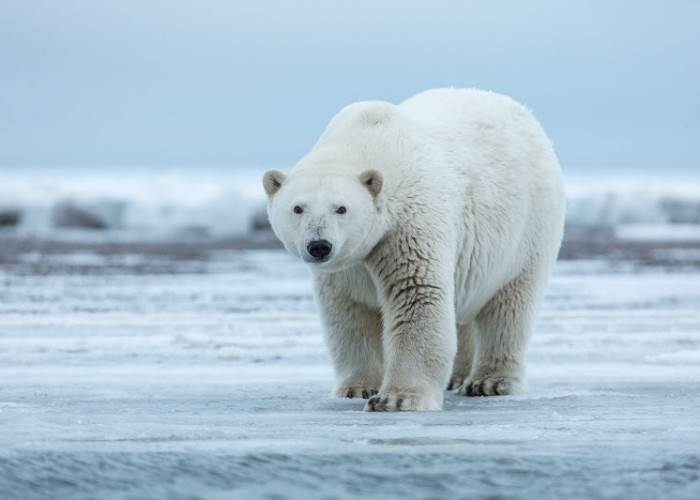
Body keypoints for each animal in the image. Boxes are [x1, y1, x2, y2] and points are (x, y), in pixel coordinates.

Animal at [262, 89, 564, 410]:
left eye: (341, 208)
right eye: (298, 208)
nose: (319, 246)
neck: (368, 138)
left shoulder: (407, 224)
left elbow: (416, 293)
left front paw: (396, 398)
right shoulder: (348, 266)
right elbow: (350, 312)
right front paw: (357, 388)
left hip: (527, 229)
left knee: (510, 306)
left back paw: (490, 381)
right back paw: (457, 377)